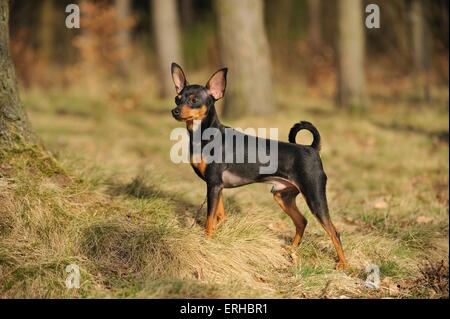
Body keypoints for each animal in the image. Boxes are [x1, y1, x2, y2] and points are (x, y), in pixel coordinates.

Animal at [171, 63, 346, 270]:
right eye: (177, 98)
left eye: (194, 100)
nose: (175, 111)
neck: (205, 136)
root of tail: (311, 148)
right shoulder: (217, 186)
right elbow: (219, 217)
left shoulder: (213, 184)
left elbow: (209, 220)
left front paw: (206, 243)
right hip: (282, 196)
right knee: (302, 221)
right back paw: (290, 250)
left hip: (315, 198)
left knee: (334, 232)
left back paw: (343, 264)